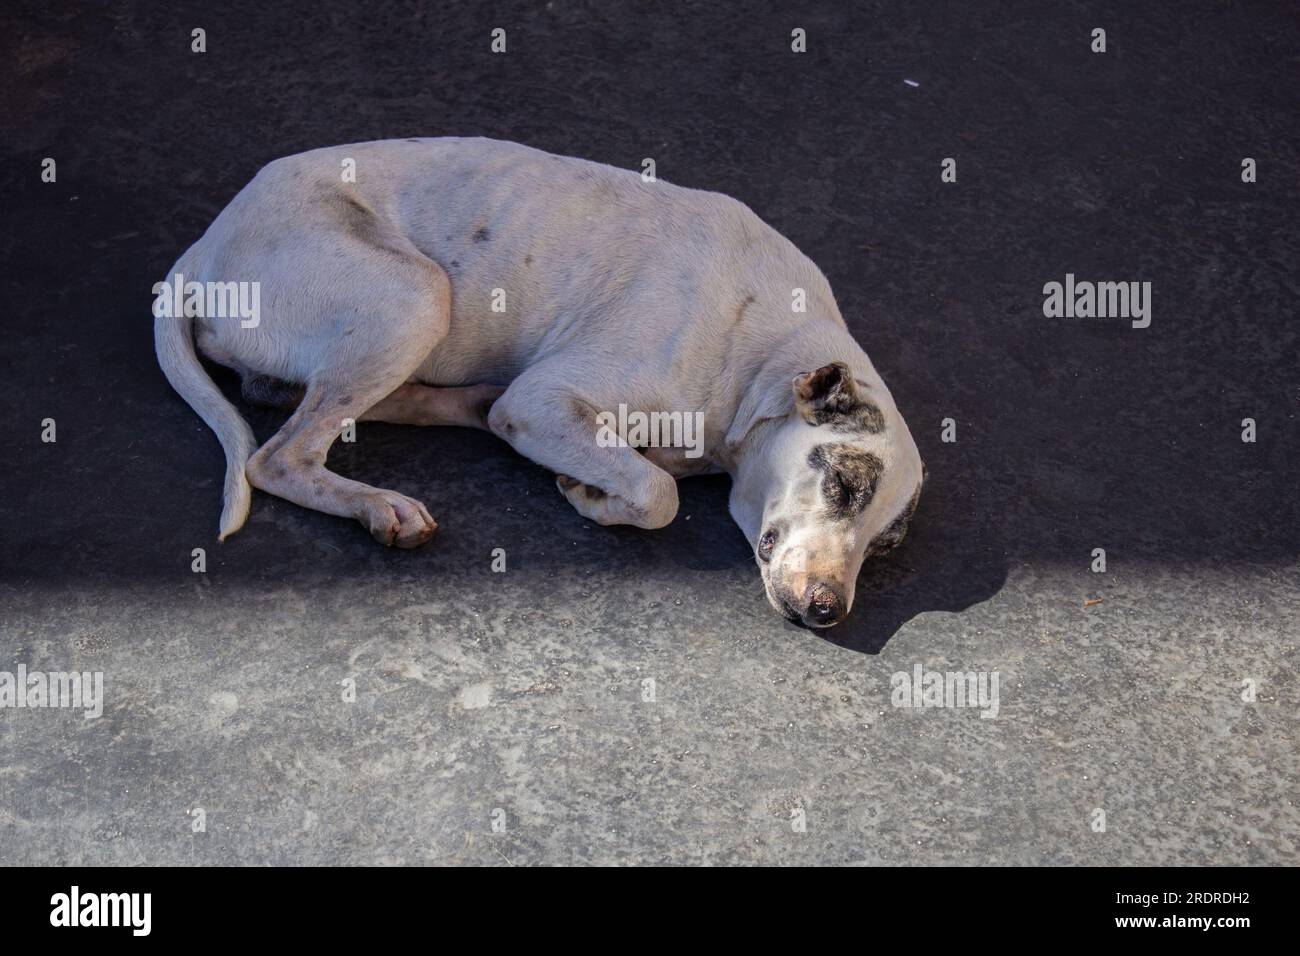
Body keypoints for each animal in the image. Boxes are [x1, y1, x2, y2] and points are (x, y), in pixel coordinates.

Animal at [154, 136, 925, 629]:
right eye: (841, 485)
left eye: (885, 547)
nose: (830, 611)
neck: (761, 354)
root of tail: (201, 249)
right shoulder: (544, 403)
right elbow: (660, 493)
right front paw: (594, 496)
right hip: (416, 294)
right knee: (276, 457)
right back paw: (380, 506)